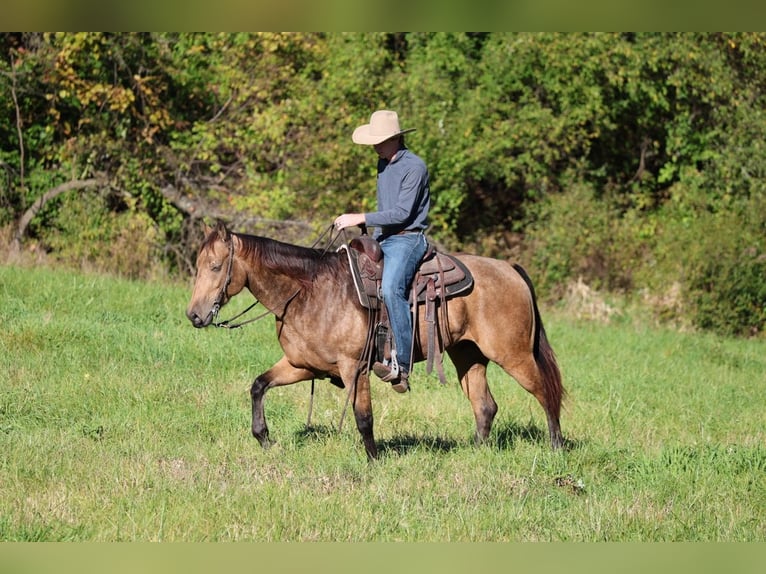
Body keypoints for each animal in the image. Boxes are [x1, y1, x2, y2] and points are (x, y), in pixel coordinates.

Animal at [186, 221, 565, 460]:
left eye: (216, 266)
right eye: (198, 266)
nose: (194, 315)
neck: (310, 292)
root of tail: (510, 268)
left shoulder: (354, 368)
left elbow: (363, 416)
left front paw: (373, 460)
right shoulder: (302, 365)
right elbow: (258, 386)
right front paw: (264, 438)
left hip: (513, 354)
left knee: (545, 392)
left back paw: (556, 447)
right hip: (467, 355)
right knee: (485, 405)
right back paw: (477, 452)